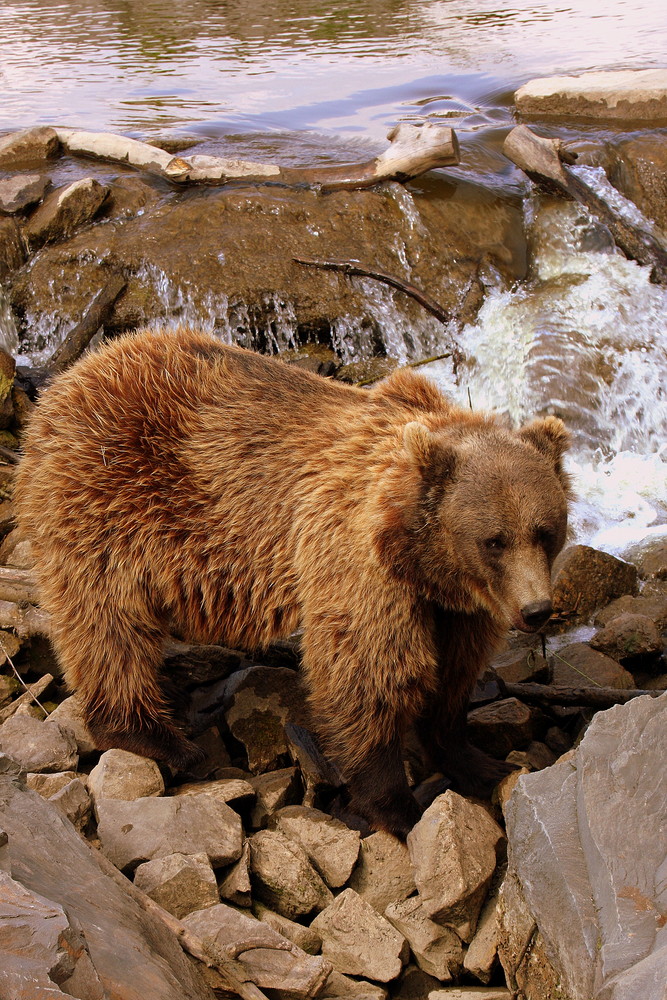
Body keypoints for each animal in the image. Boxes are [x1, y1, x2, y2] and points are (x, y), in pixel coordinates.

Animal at [14, 326, 568, 836]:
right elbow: (368, 675)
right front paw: (395, 805)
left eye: (545, 530)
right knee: (108, 622)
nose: (536, 610)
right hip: (107, 499)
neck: (418, 555)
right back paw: (165, 741)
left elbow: (453, 675)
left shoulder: (456, 607)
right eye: (494, 540)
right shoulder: (357, 564)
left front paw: (481, 761)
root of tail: (73, 376)